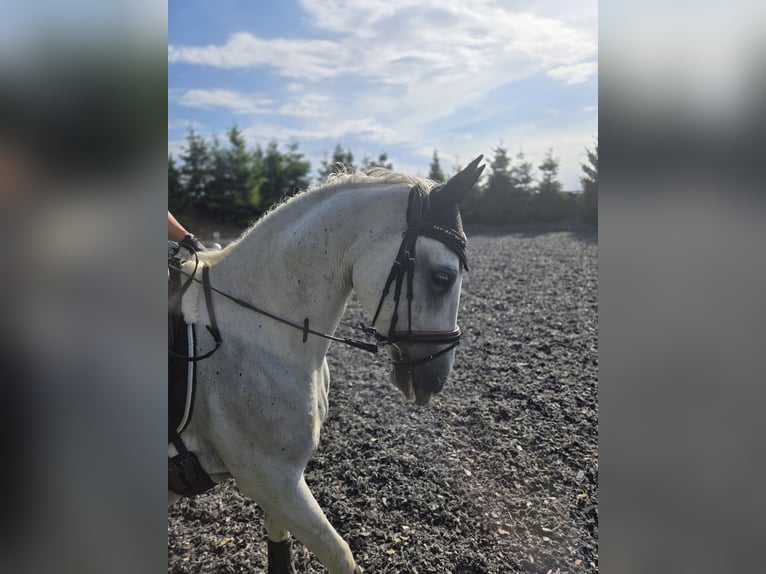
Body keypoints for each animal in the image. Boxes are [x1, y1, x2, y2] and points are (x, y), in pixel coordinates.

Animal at [168, 156, 485, 573]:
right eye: (443, 277)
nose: (436, 378)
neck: (260, 330)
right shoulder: (272, 479)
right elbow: (340, 555)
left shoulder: (277, 485)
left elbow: (280, 546)